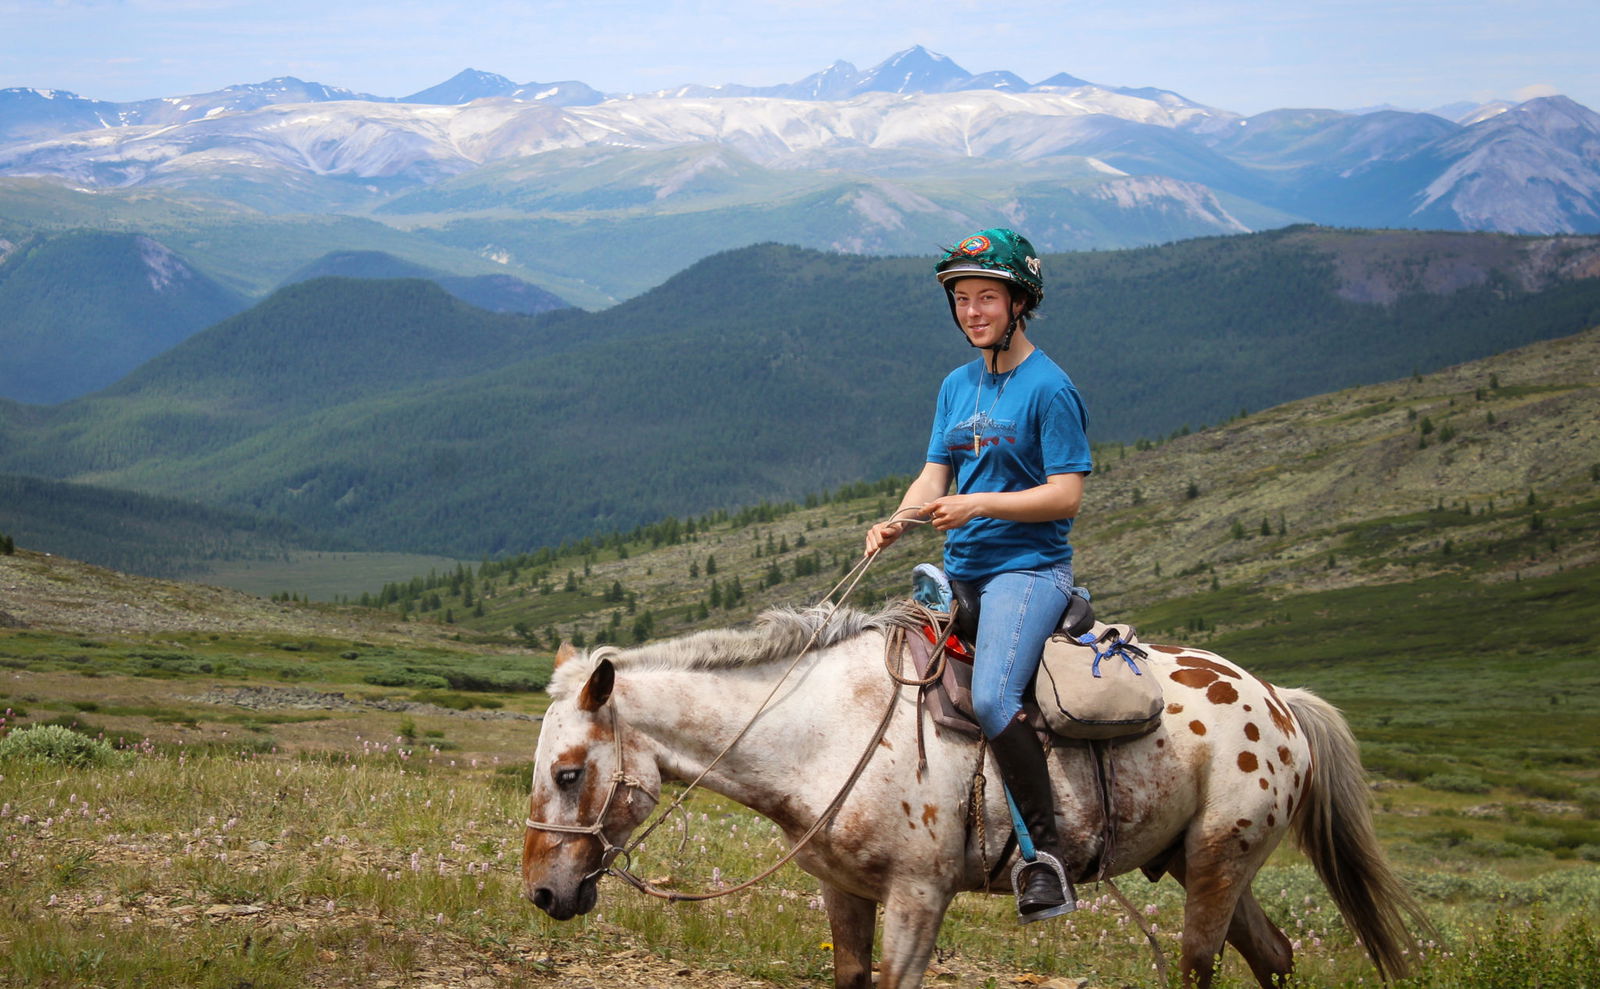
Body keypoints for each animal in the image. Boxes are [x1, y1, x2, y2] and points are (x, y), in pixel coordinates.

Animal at [520, 601, 1430, 988]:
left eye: (568, 771)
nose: (542, 893)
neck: (823, 728)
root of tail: (1279, 700)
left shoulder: (919, 897)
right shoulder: (844, 890)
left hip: (1216, 862)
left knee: (1201, 963)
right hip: (1200, 862)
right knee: (1273, 953)